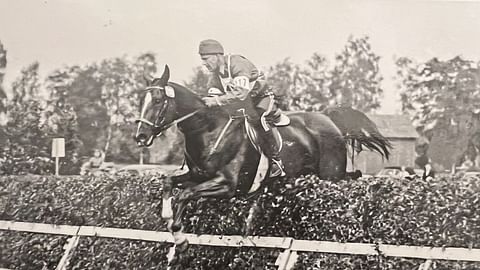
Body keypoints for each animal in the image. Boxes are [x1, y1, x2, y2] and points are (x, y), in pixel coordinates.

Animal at [134, 65, 390, 255]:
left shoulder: (227, 185)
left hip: (330, 176)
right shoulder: (197, 175)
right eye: (140, 101)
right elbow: (169, 182)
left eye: (157, 100)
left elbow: (185, 195)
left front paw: (179, 235)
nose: (140, 136)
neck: (208, 130)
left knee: (347, 187)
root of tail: (328, 118)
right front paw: (169, 220)